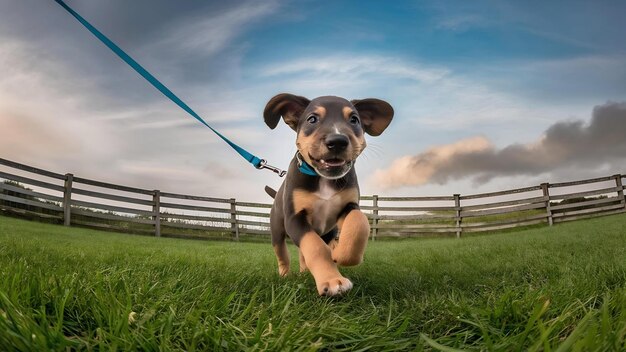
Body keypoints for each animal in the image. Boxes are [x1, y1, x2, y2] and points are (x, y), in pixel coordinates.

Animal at [264, 94, 392, 296]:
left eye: (354, 120)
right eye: (312, 119)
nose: (338, 140)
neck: (323, 179)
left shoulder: (348, 206)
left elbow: (360, 222)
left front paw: (341, 254)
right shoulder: (295, 219)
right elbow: (315, 247)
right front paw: (332, 280)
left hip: (328, 232)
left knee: (304, 254)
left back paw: (306, 271)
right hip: (277, 231)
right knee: (283, 255)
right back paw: (285, 275)